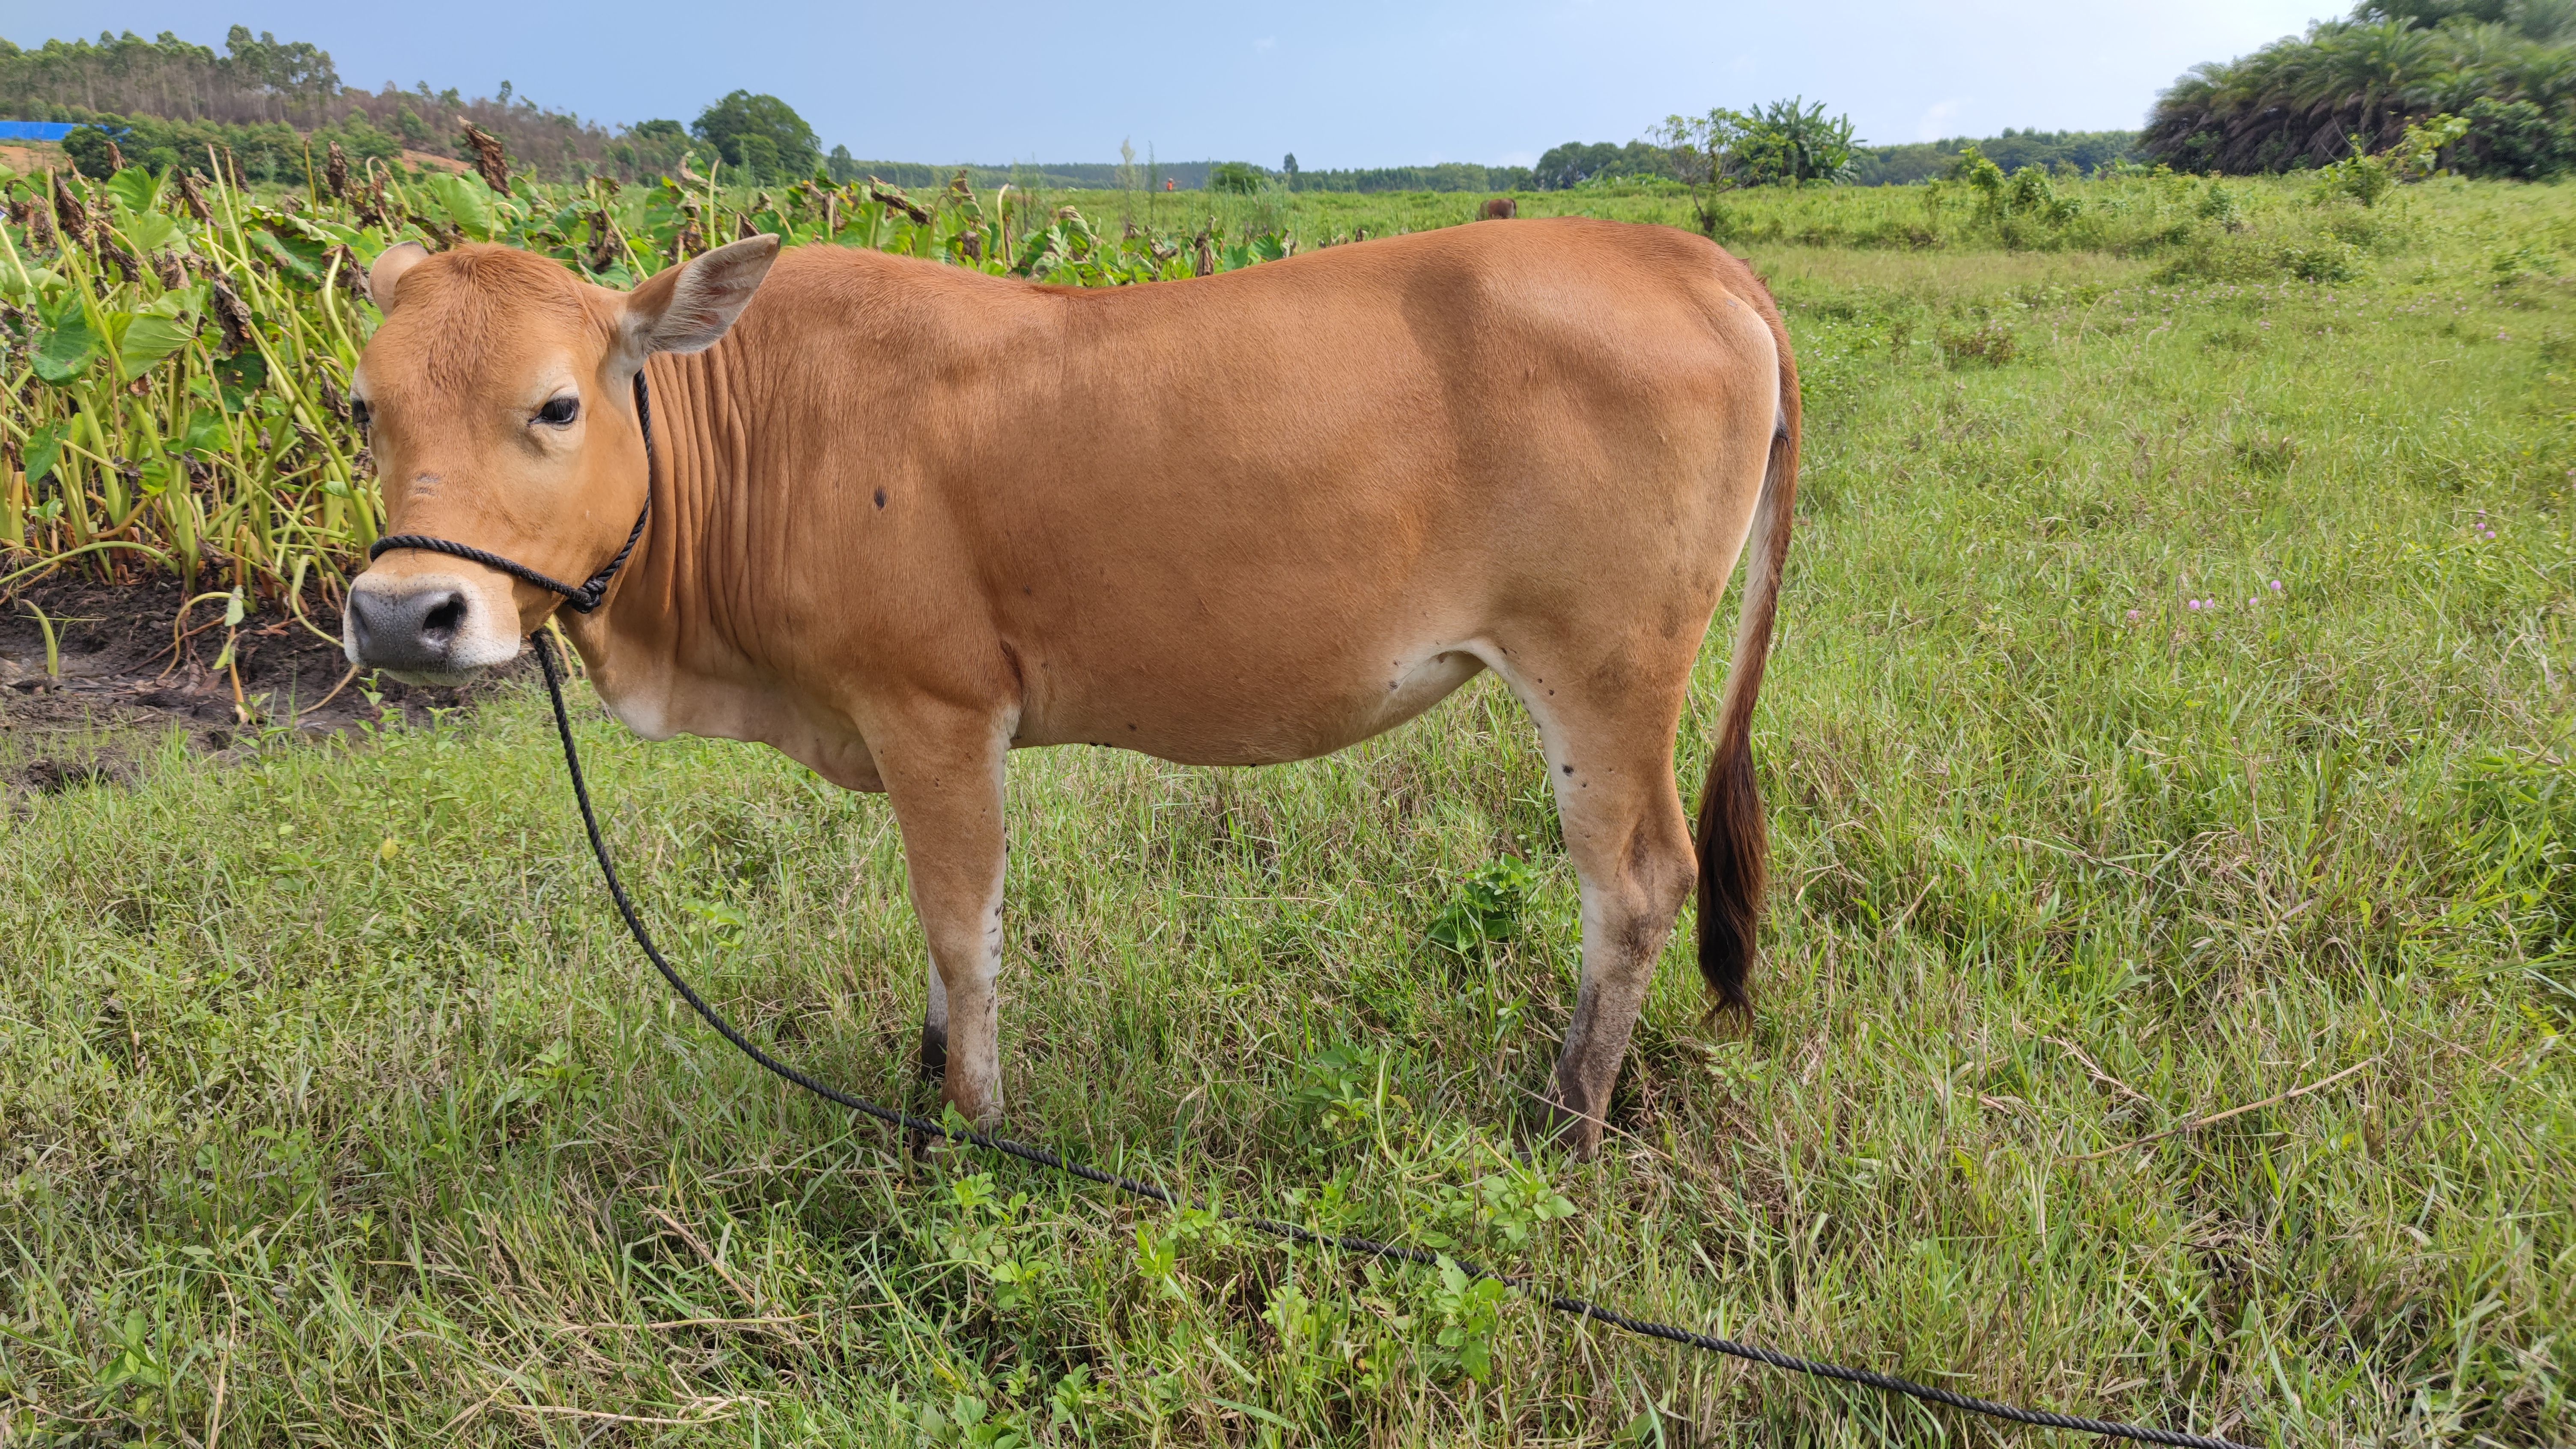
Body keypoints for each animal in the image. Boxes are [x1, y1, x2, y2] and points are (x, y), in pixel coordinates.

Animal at [337, 216, 1793, 1150]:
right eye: (362, 409)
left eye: (558, 405)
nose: (404, 615)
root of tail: (1680, 252)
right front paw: (921, 1091)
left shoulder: (937, 714)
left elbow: (959, 933)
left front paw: (973, 1128)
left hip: (1603, 672)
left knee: (1638, 885)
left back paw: (1566, 1122)